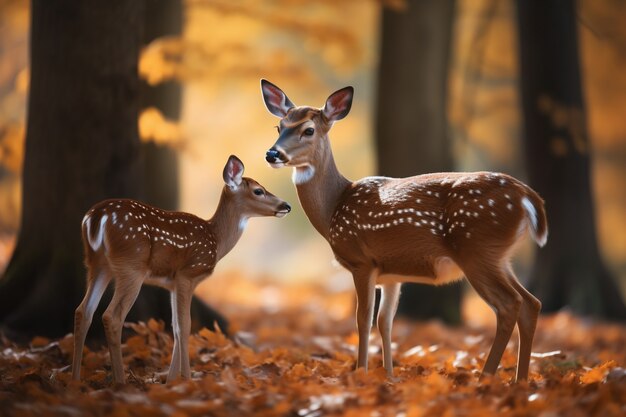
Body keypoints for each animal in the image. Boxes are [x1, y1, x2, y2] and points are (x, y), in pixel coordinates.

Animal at [72, 154, 292, 382]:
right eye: (258, 190)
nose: (287, 205)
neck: (216, 239)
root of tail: (95, 218)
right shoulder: (189, 274)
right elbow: (186, 326)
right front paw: (187, 378)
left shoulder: (172, 283)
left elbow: (176, 327)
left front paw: (171, 381)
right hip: (131, 264)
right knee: (111, 316)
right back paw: (120, 381)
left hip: (97, 263)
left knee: (83, 311)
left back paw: (74, 379)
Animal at [260, 79, 544, 382]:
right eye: (279, 127)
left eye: (308, 130)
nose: (273, 153)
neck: (334, 208)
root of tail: (527, 196)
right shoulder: (392, 275)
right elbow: (385, 321)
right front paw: (389, 375)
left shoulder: (362, 261)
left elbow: (363, 319)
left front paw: (361, 372)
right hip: (500, 257)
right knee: (531, 303)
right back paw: (520, 381)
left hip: (477, 250)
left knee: (509, 305)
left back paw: (485, 378)